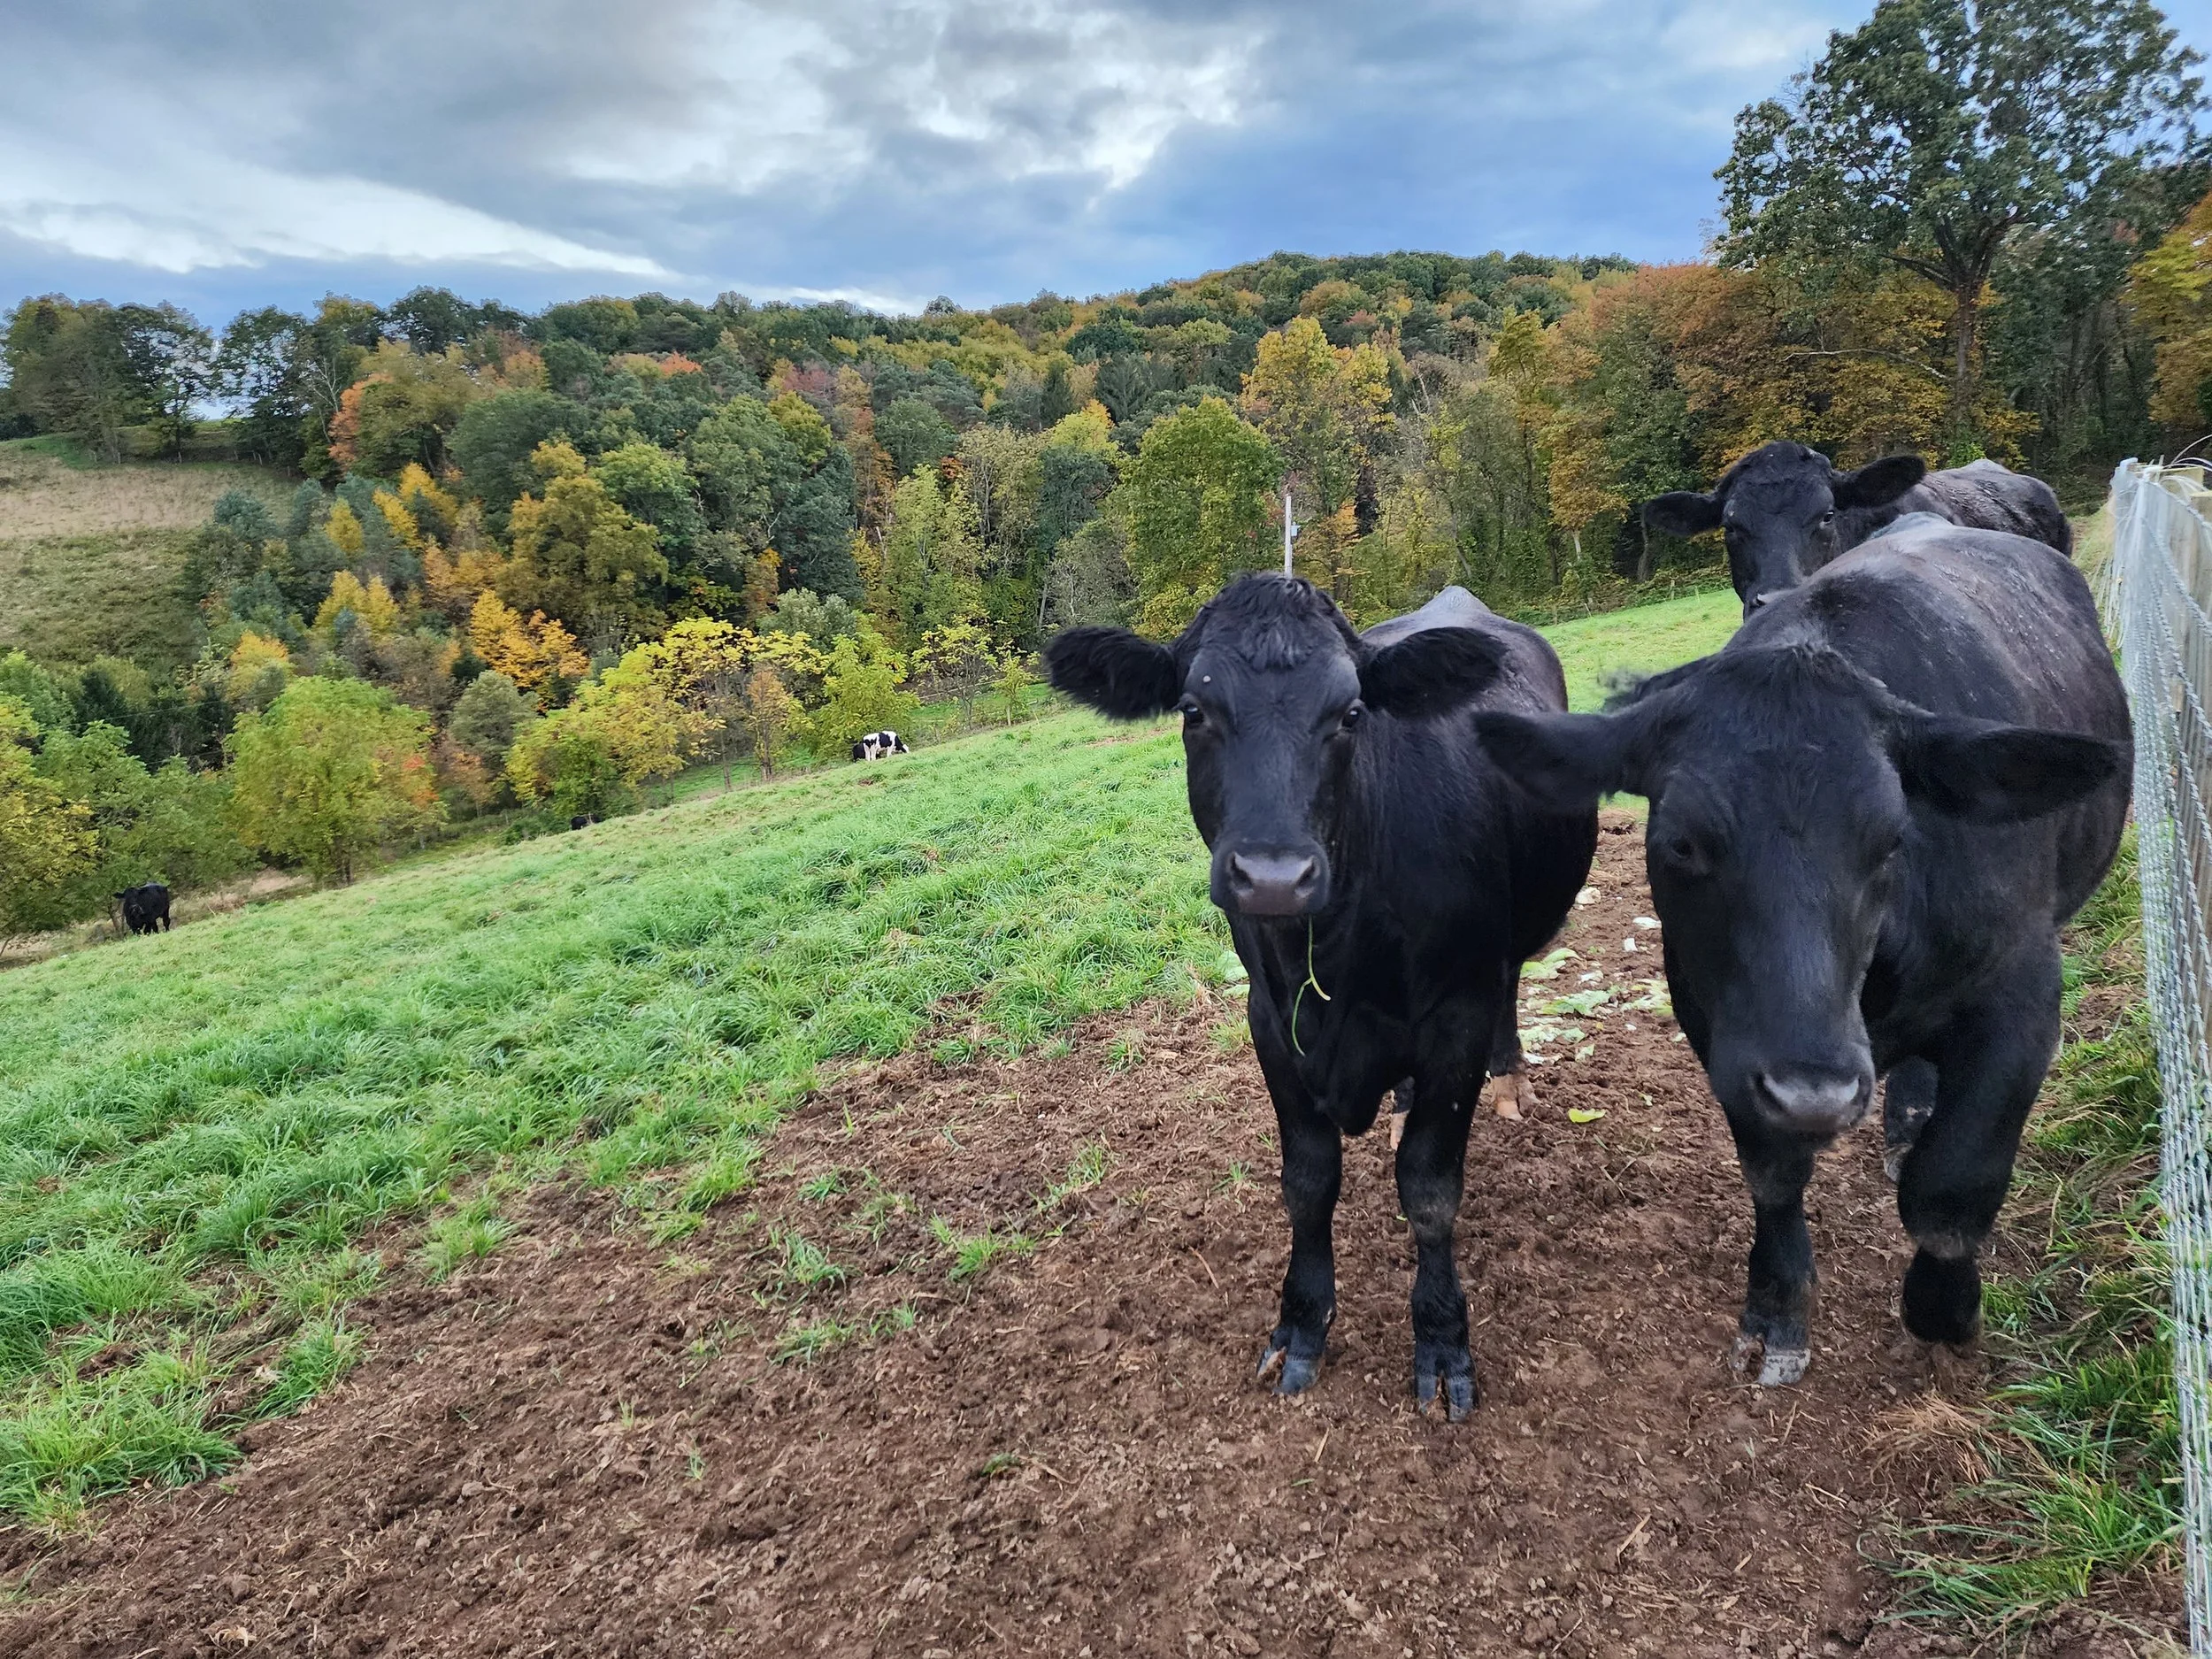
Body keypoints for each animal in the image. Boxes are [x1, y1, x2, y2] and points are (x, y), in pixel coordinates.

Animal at [1046, 577, 1596, 1418]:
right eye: (1193, 710)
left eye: (1351, 713)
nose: (1273, 876)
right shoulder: (1270, 1021)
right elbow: (1307, 1182)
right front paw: (1301, 1323)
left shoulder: (1458, 1015)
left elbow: (1429, 1186)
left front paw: (1442, 1343)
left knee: (1511, 983)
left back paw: (1507, 1078)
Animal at [1472, 523, 2128, 1383]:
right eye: (1681, 842)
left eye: (1892, 839)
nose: (1817, 1090)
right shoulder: (1723, 1027)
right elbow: (1774, 1172)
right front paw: (1778, 1309)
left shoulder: (2023, 997)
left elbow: (1950, 1187)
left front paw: (1946, 1312)